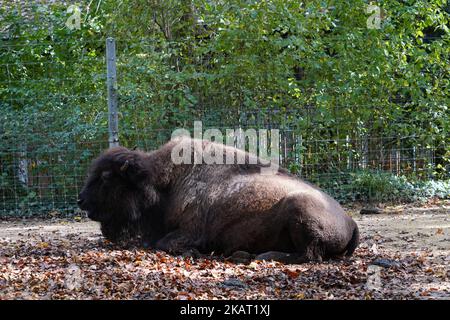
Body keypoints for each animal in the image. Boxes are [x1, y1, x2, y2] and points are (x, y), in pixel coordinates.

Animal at [77, 138, 358, 262]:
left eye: (105, 178)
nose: (81, 200)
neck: (164, 181)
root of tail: (351, 221)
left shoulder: (190, 232)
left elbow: (163, 243)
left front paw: (196, 253)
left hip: (299, 209)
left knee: (309, 256)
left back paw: (256, 255)